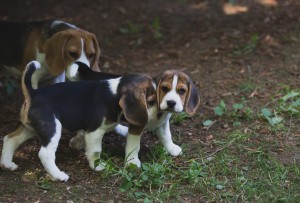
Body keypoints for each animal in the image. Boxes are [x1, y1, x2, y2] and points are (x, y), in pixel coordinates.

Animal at [0, 60, 157, 181]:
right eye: (151, 101)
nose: (157, 116)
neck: (115, 93)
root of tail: (33, 94)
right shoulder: (94, 132)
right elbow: (95, 151)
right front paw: (98, 166)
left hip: (28, 128)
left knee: (10, 139)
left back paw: (7, 164)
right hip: (52, 128)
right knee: (45, 153)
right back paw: (59, 176)